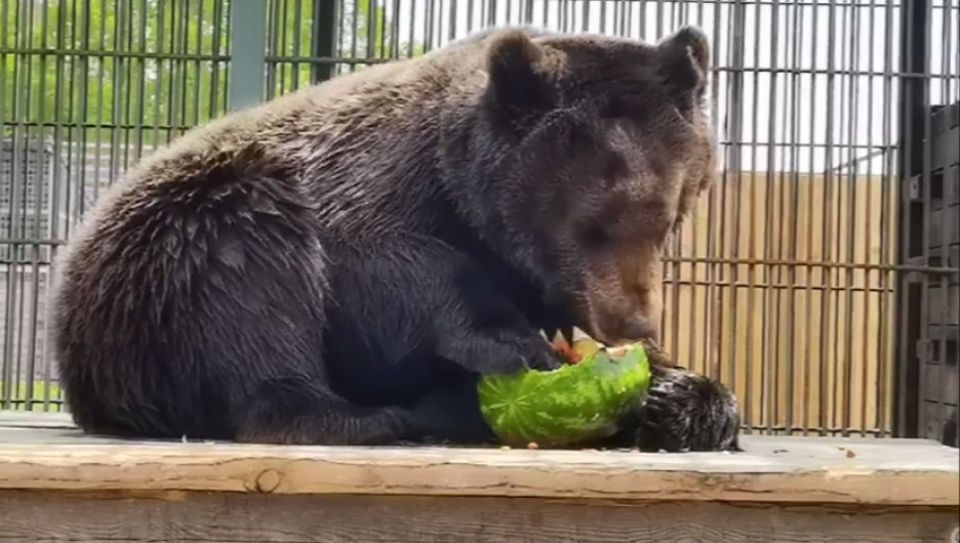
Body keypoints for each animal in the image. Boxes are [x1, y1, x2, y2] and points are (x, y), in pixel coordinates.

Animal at [50, 24, 744, 450]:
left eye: (669, 216)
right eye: (592, 224)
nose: (634, 321)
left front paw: (676, 396)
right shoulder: (374, 186)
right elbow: (382, 270)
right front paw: (515, 343)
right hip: (166, 261)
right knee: (247, 281)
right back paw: (361, 417)